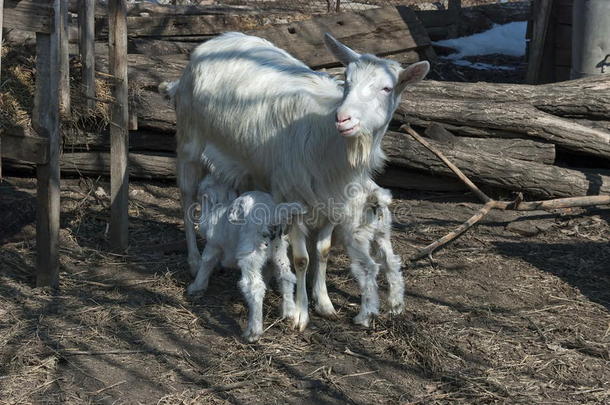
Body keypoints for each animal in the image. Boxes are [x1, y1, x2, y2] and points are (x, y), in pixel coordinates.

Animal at [190, 176, 304, 340]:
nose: (198, 186)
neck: (220, 208)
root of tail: (272, 214)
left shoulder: (213, 245)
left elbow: (206, 263)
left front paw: (196, 287)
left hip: (250, 254)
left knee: (254, 286)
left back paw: (253, 332)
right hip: (279, 250)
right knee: (286, 276)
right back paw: (288, 312)